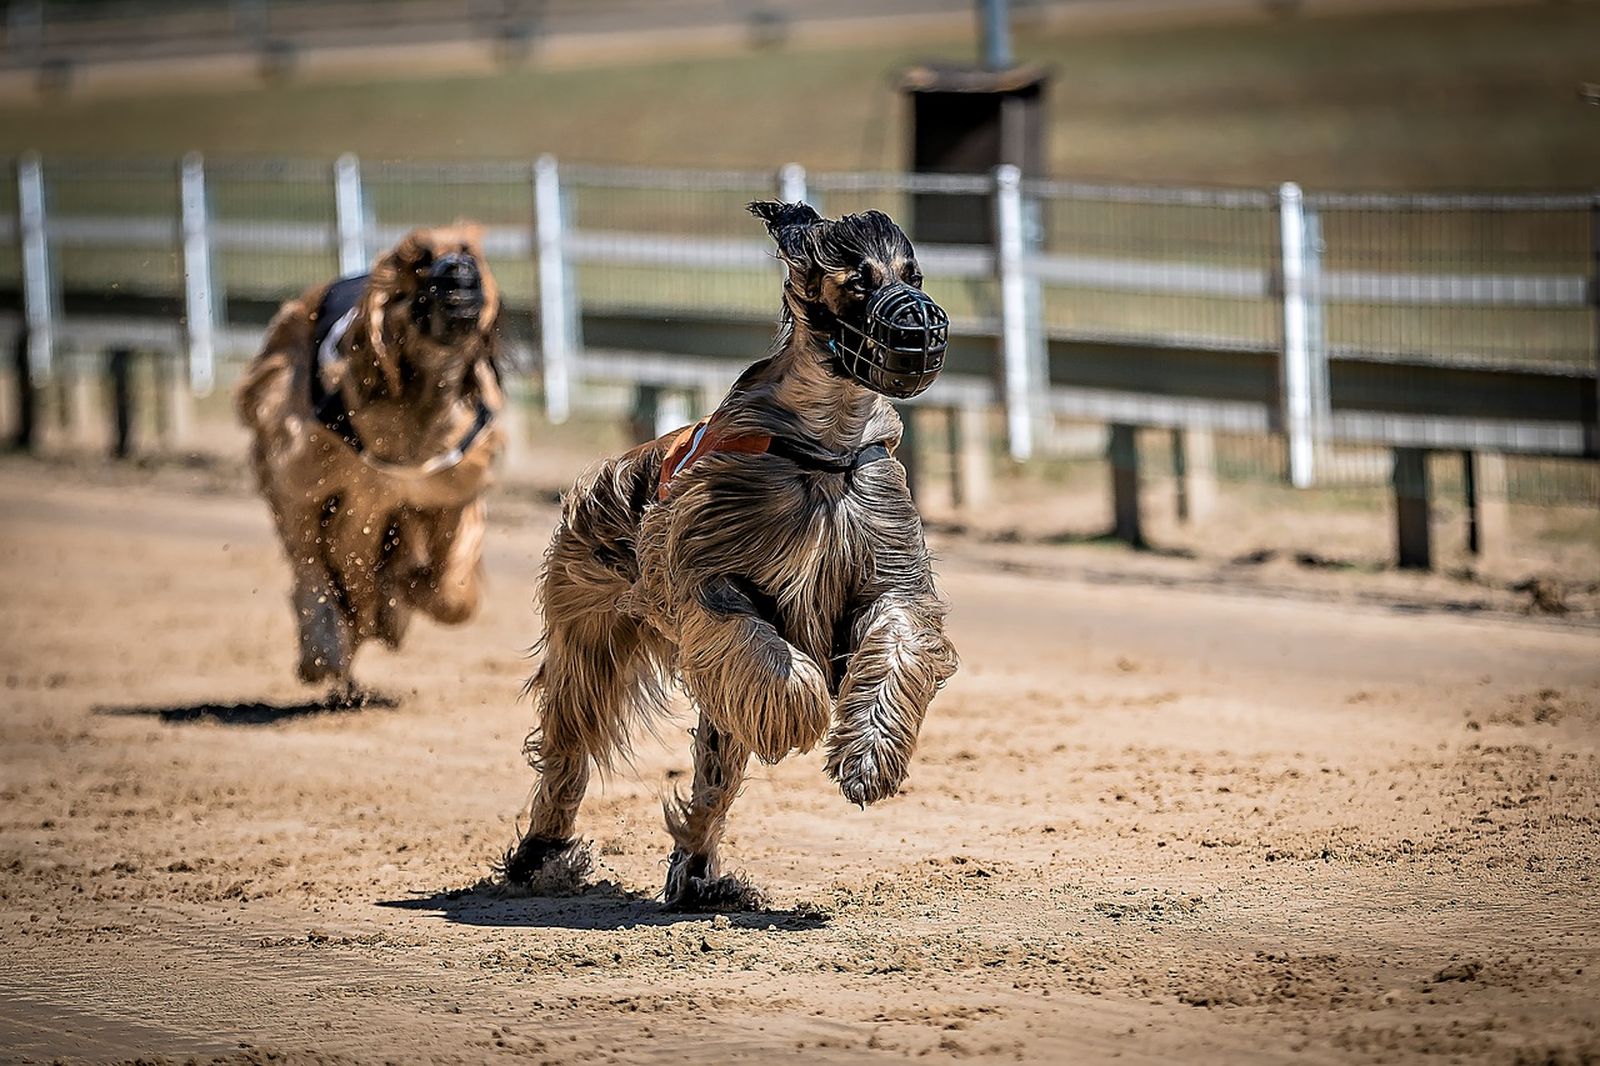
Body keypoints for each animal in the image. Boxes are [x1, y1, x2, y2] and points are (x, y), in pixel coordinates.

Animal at [233, 224, 499, 688]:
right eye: (421, 259)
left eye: (467, 252)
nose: (461, 273)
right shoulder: (304, 487)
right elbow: (312, 570)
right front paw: (324, 649)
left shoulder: (451, 490)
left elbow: (451, 591)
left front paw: (403, 596)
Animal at [505, 201, 953, 902]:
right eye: (858, 279)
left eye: (915, 274)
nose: (922, 325)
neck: (825, 445)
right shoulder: (704, 572)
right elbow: (763, 648)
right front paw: (800, 710)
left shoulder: (886, 572)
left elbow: (898, 636)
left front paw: (868, 761)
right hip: (589, 626)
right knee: (571, 738)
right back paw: (541, 854)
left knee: (713, 770)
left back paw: (696, 877)